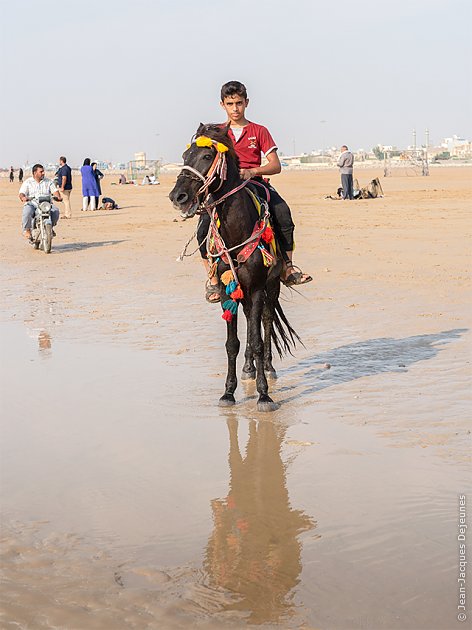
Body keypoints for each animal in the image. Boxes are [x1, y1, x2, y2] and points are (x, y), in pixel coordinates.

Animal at [169, 124, 298, 414]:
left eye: (207, 156)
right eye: (184, 155)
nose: (177, 196)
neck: (235, 231)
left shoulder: (258, 287)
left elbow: (259, 340)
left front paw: (264, 395)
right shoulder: (228, 291)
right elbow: (233, 344)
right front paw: (228, 392)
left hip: (272, 286)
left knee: (265, 321)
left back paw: (267, 368)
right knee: (251, 325)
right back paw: (249, 368)